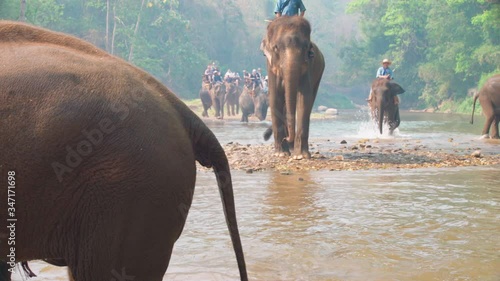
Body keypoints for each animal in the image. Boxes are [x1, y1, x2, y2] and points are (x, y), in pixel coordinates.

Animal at [260, 16, 326, 159]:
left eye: (306, 47)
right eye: (276, 48)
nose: (288, 138)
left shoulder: (308, 66)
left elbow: (304, 99)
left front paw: (300, 156)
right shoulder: (270, 67)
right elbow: (275, 98)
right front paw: (281, 154)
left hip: (319, 73)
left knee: (310, 101)